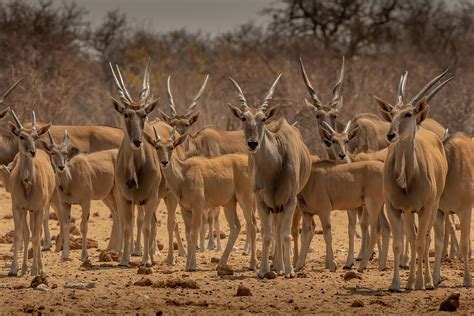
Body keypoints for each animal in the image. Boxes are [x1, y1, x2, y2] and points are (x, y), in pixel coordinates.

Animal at [7, 111, 55, 276]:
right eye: (21, 136)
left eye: (36, 136)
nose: (32, 152)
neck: (28, 184)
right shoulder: (17, 208)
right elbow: (19, 235)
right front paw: (14, 269)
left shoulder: (39, 208)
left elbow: (36, 237)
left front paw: (35, 270)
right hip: (27, 211)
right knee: (27, 234)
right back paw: (23, 268)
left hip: (40, 209)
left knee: (37, 233)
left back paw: (40, 268)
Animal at [40, 130, 119, 262]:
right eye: (52, 152)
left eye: (65, 152)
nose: (61, 167)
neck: (71, 178)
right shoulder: (65, 204)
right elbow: (66, 225)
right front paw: (64, 254)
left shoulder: (86, 202)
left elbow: (83, 226)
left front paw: (84, 256)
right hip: (108, 196)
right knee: (117, 216)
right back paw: (112, 248)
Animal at [144, 126, 258, 272]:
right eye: (157, 146)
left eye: (171, 147)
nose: (164, 162)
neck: (183, 174)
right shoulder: (185, 209)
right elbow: (188, 234)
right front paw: (187, 264)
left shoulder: (198, 207)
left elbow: (194, 233)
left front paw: (192, 265)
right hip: (229, 204)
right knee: (235, 227)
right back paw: (222, 262)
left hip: (246, 199)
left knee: (252, 225)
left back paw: (252, 264)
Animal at [229, 74, 312, 276]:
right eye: (243, 118)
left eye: (263, 118)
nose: (252, 143)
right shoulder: (262, 202)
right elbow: (267, 235)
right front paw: (263, 270)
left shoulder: (290, 201)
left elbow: (286, 234)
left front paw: (289, 271)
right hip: (273, 206)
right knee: (274, 229)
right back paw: (276, 265)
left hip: (283, 205)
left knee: (281, 230)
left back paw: (282, 266)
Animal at [376, 68, 450, 290]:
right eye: (392, 113)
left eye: (408, 113)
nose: (391, 135)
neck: (406, 178)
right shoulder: (394, 208)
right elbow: (399, 243)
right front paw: (396, 284)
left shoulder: (425, 208)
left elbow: (420, 242)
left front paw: (421, 282)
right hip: (409, 212)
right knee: (412, 236)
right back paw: (411, 283)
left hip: (434, 207)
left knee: (425, 239)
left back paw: (427, 281)